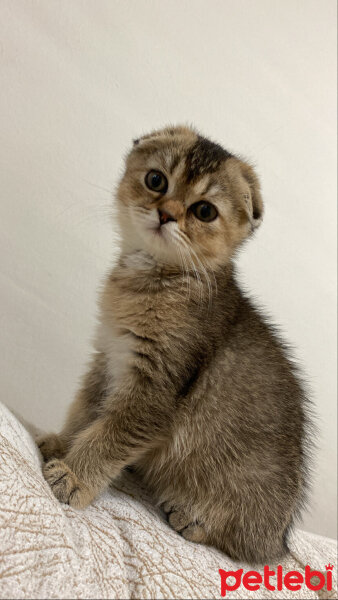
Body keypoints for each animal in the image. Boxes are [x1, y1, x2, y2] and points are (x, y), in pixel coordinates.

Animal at [38, 125, 310, 564]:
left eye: (204, 211)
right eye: (156, 180)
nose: (166, 214)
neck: (156, 278)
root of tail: (279, 538)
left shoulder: (155, 393)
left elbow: (109, 436)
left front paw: (75, 476)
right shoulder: (109, 356)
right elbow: (86, 410)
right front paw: (63, 445)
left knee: (239, 544)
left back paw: (193, 518)